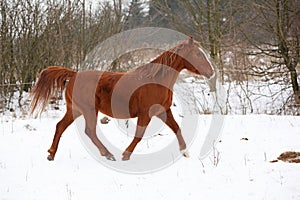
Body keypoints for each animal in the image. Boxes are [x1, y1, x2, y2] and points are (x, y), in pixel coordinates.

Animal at [29, 36, 213, 161]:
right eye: (198, 54)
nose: (211, 72)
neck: (156, 80)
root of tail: (74, 75)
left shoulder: (163, 111)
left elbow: (176, 129)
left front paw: (185, 151)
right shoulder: (145, 114)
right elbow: (139, 136)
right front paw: (125, 154)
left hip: (75, 109)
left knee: (60, 126)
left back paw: (51, 154)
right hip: (88, 110)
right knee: (89, 131)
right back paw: (108, 154)